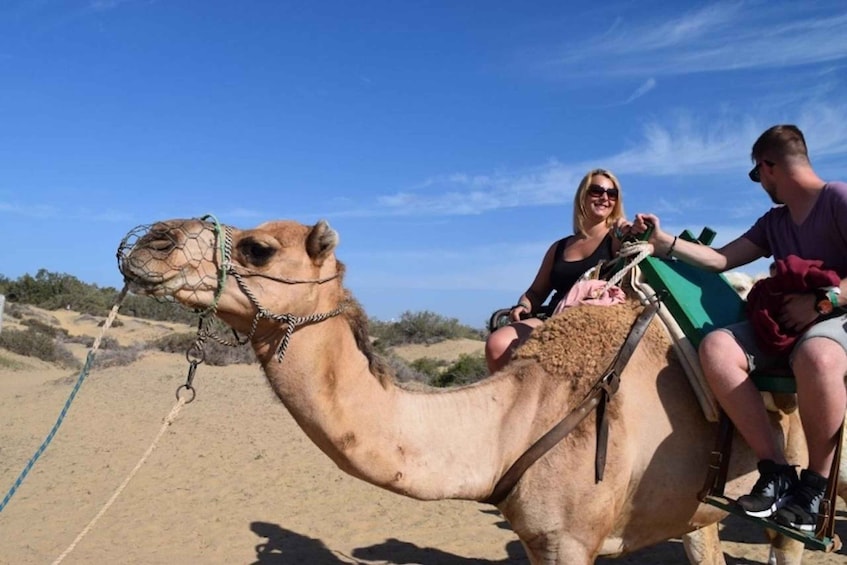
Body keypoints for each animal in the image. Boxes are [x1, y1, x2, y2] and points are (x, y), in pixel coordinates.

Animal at [116, 217, 812, 564]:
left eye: (258, 248)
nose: (147, 240)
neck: (516, 419)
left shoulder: (573, 543)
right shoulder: (539, 541)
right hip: (698, 506)